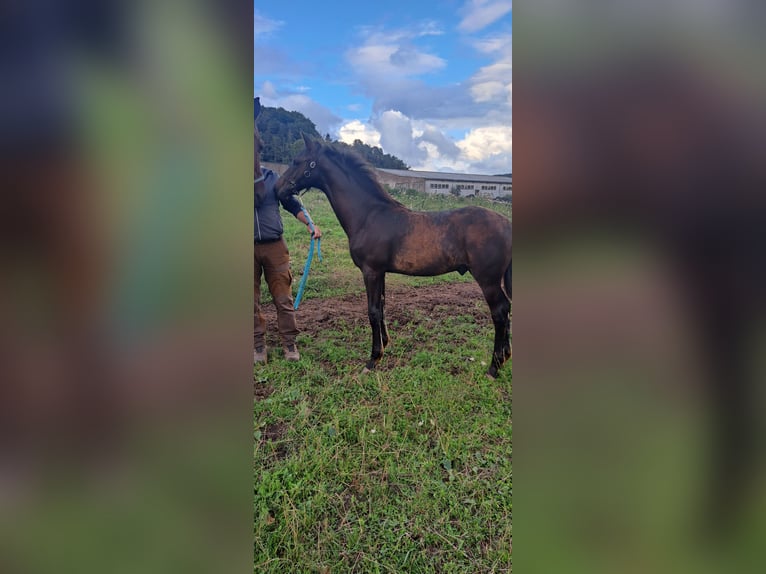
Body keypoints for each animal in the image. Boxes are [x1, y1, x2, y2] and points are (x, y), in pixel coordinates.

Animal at [276, 133, 512, 378]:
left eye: (297, 161)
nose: (277, 190)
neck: (368, 215)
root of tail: (507, 223)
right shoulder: (380, 272)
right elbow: (381, 307)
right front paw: (385, 345)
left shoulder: (370, 271)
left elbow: (372, 311)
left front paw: (372, 359)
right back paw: (504, 357)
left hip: (488, 280)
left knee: (500, 311)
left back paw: (494, 366)